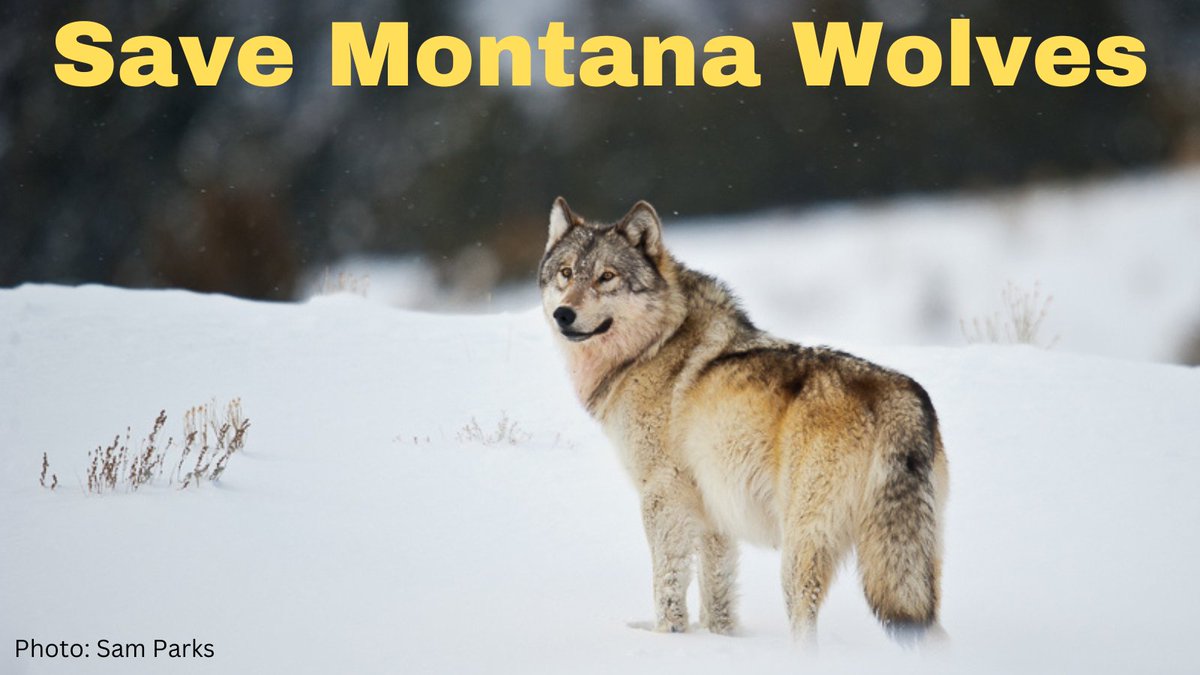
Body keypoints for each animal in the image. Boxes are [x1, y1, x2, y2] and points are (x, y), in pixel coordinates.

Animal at [539, 197, 949, 644]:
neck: (653, 346)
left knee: (805, 625)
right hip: (913, 566)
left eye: (606, 277)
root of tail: (899, 396)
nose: (563, 314)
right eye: (566, 273)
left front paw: (668, 635)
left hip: (801, 551)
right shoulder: (715, 510)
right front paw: (721, 639)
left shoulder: (662, 496)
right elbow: (717, 590)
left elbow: (668, 581)